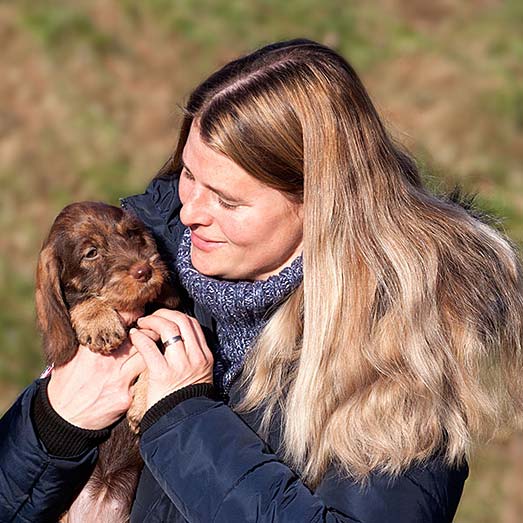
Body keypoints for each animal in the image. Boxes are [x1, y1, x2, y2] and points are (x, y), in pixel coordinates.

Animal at [34, 202, 179, 523]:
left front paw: (144, 399)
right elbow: (78, 300)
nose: (144, 270)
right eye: (91, 253)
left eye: (132, 234)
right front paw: (98, 319)